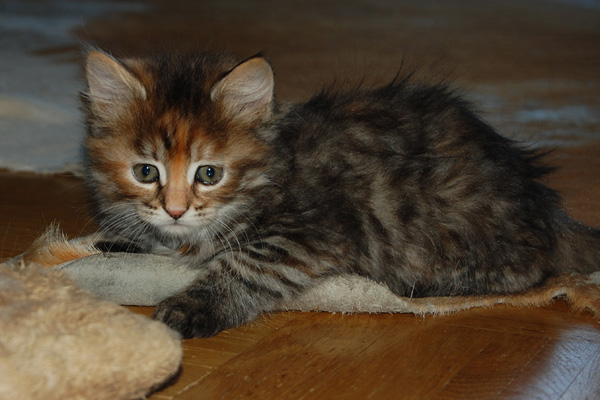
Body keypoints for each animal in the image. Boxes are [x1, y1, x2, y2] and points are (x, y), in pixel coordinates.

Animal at [81, 48, 600, 338]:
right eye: (146, 171)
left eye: (208, 174)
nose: (175, 210)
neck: (273, 170)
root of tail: (540, 199)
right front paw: (120, 241)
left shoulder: (309, 231)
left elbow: (244, 267)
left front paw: (193, 306)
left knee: (525, 272)